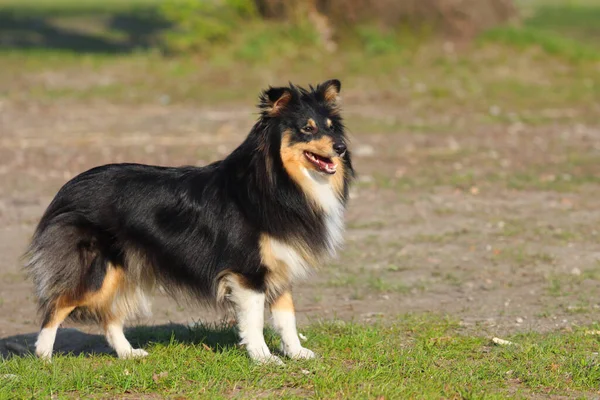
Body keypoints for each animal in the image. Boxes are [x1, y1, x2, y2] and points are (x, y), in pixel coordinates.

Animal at [25, 79, 354, 364]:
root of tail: (68, 188)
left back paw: (129, 354)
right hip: (96, 270)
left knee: (110, 316)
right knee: (57, 305)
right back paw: (44, 357)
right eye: (306, 129)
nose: (341, 148)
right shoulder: (248, 272)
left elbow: (287, 317)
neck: (278, 183)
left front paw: (297, 353)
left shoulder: (280, 266)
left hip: (124, 269)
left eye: (331, 127)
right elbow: (255, 320)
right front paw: (264, 358)